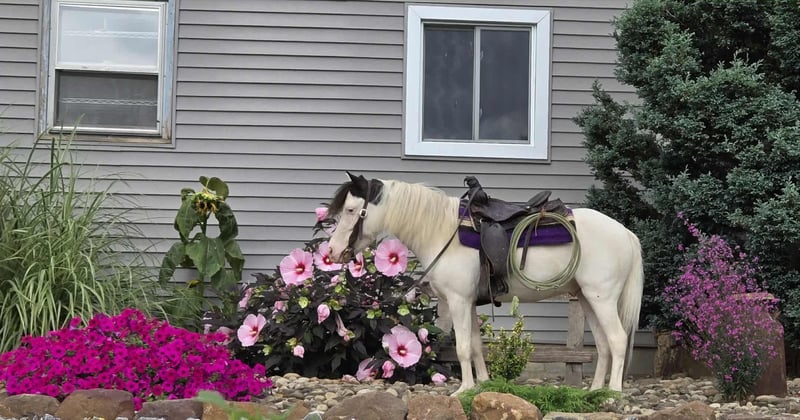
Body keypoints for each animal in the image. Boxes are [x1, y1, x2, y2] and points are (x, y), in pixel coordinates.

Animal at [326, 172, 644, 395]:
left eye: (352, 210)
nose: (333, 252)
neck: (443, 232)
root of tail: (626, 233)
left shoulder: (457, 300)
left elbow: (463, 347)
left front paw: (463, 390)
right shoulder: (467, 303)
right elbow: (477, 347)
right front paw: (481, 385)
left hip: (602, 298)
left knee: (617, 339)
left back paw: (613, 393)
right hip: (588, 298)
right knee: (603, 344)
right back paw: (595, 392)